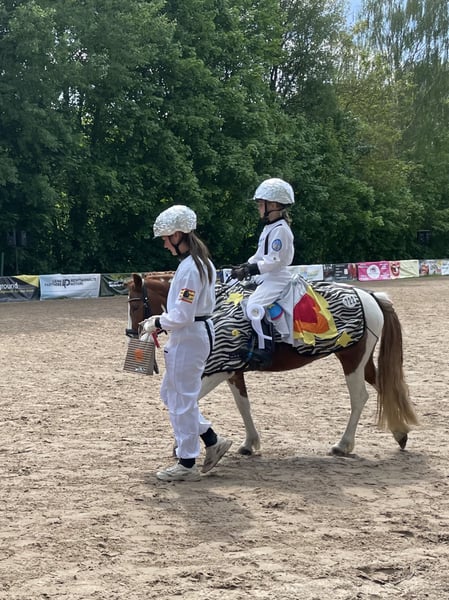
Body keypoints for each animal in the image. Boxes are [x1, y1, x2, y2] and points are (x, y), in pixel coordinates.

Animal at [125, 271, 418, 457]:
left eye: (136, 305)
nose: (133, 332)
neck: (213, 311)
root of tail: (369, 295)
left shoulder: (219, 369)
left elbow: (190, 401)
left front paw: (181, 446)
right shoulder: (233, 371)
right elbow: (243, 405)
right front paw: (249, 443)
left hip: (351, 361)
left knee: (359, 397)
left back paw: (343, 445)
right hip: (361, 361)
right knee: (383, 386)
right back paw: (400, 433)